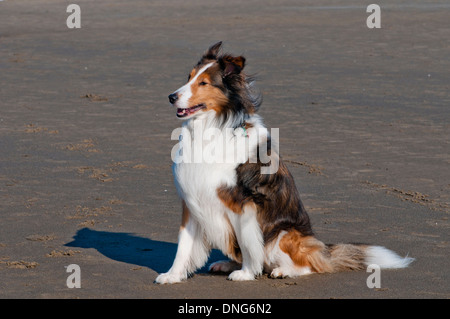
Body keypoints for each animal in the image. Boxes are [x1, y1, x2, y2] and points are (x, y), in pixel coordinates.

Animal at [156, 41, 414, 284]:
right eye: (189, 78)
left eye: (204, 83)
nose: (171, 97)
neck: (213, 128)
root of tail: (322, 248)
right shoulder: (192, 199)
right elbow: (184, 245)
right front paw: (172, 275)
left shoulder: (243, 204)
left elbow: (248, 244)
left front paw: (247, 273)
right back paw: (228, 264)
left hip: (284, 233)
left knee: (309, 265)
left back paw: (283, 271)